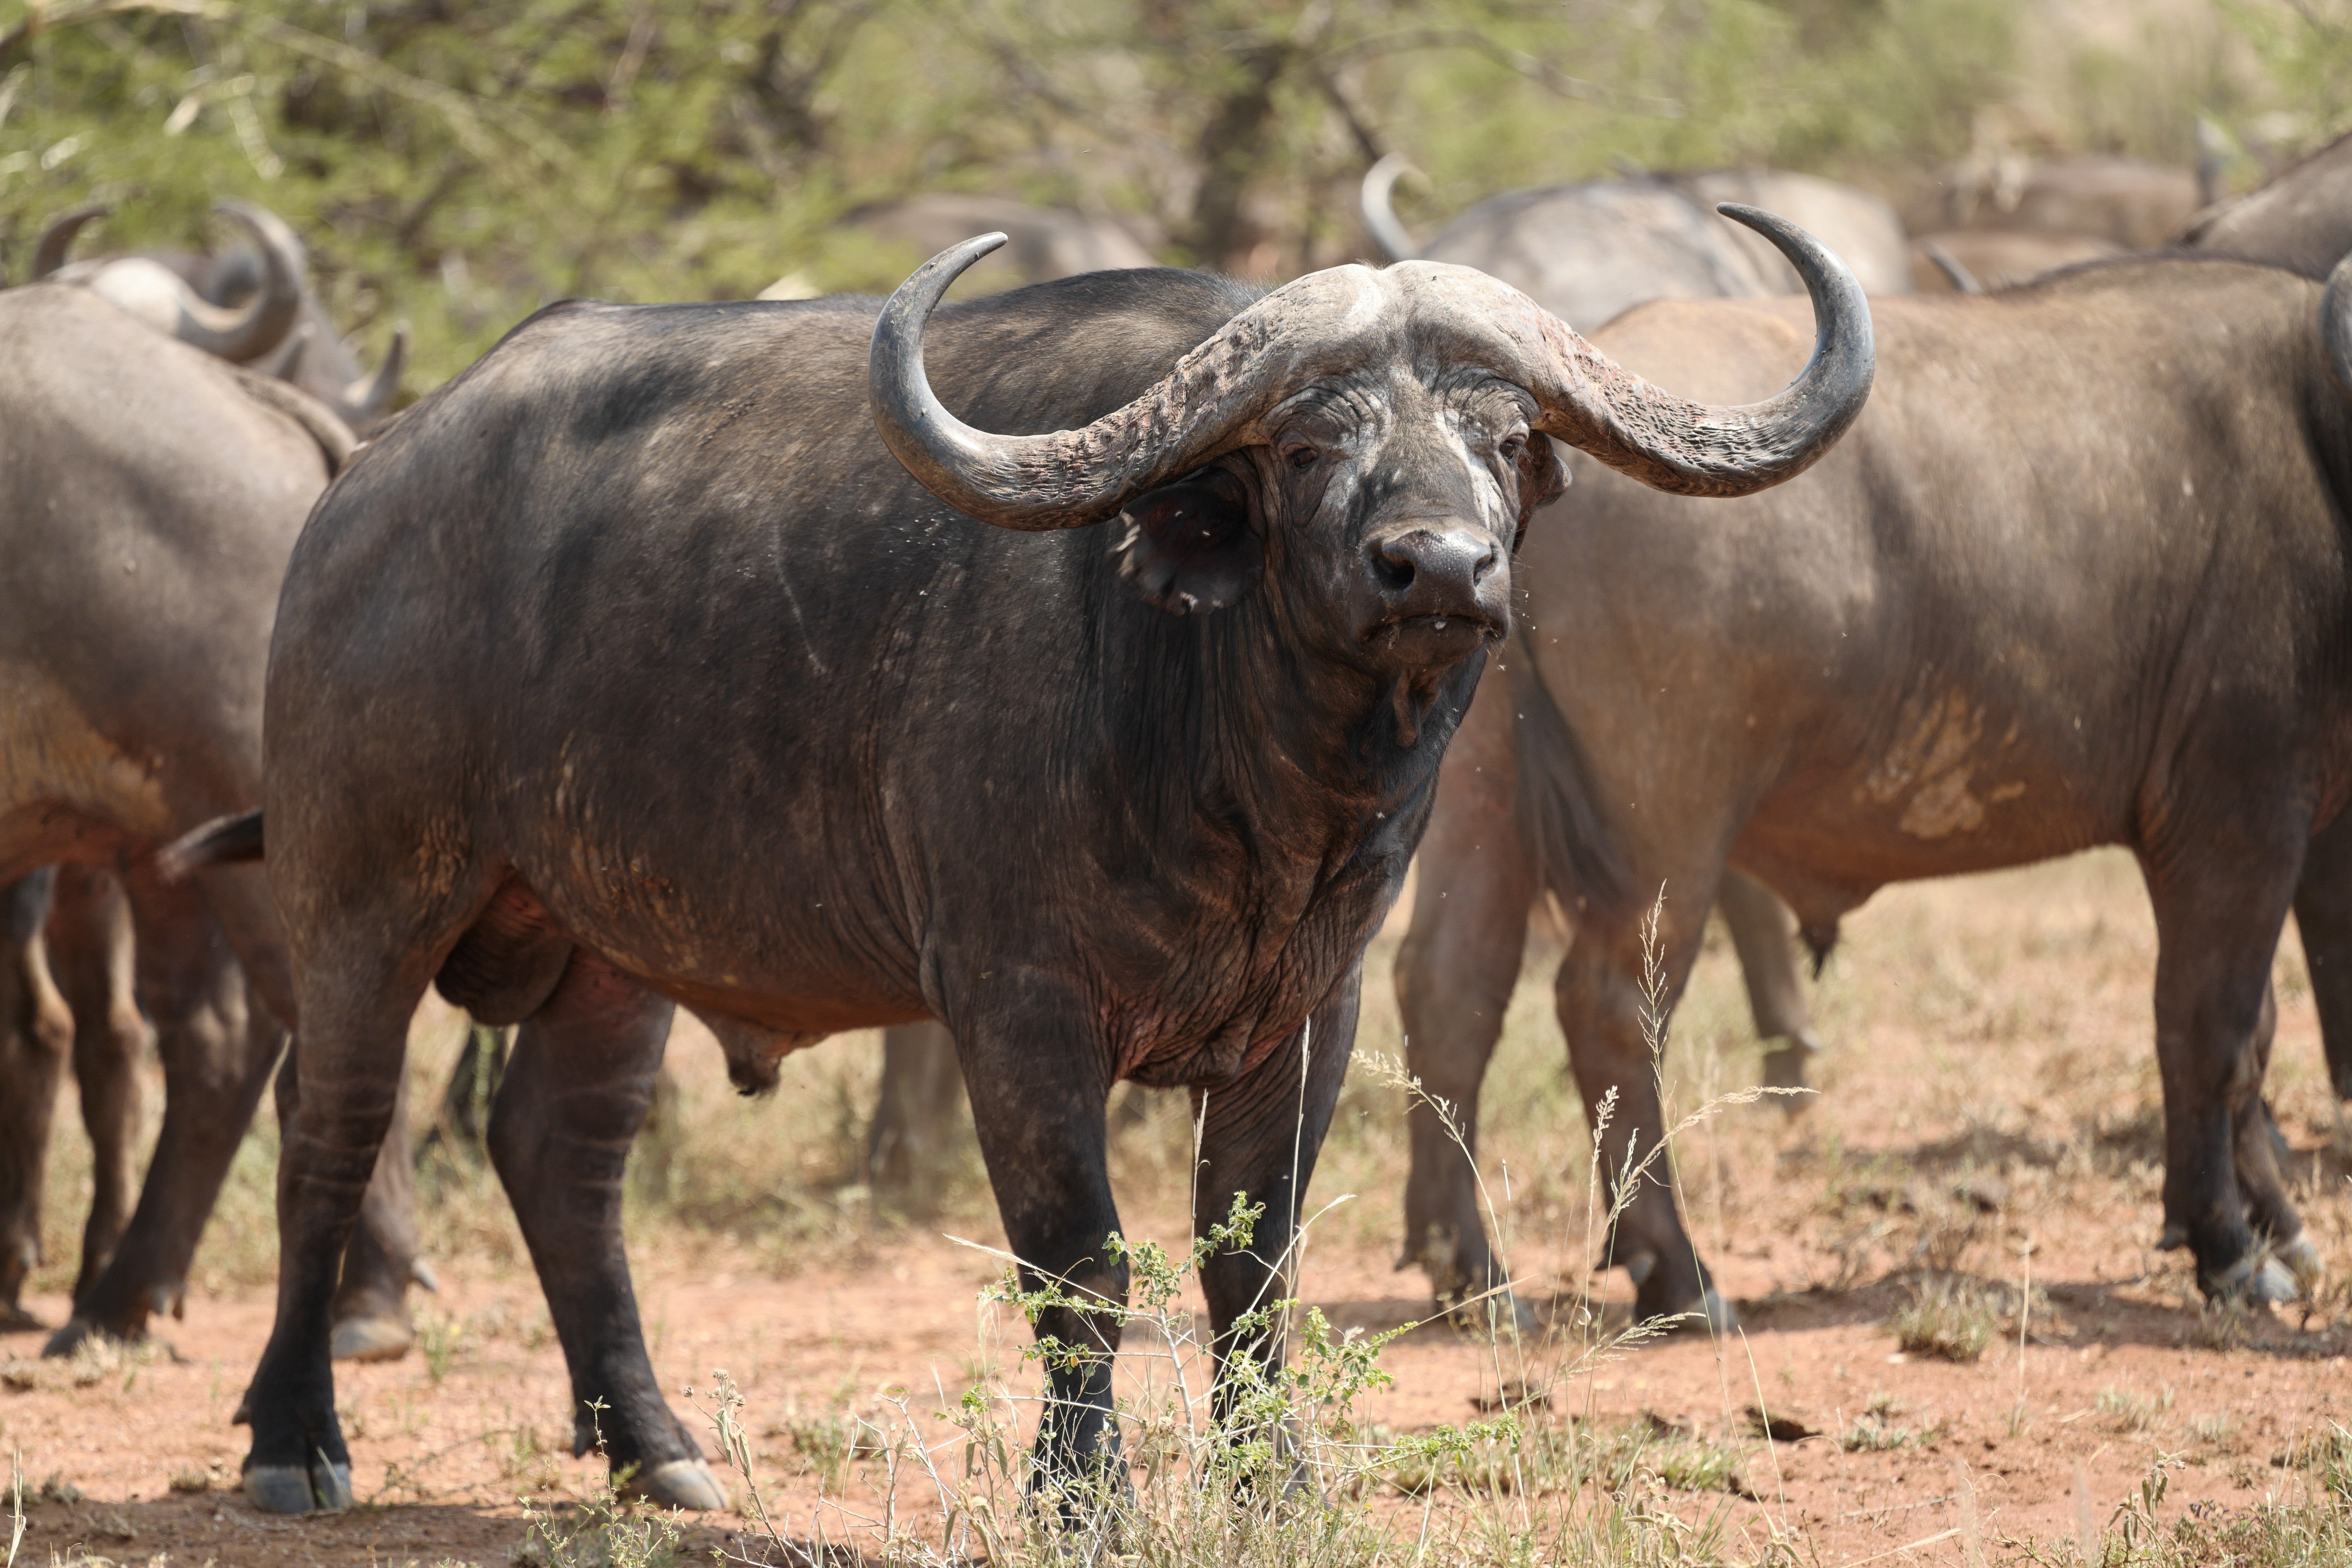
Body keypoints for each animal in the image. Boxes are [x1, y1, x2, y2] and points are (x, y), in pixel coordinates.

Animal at [207, 214, 1871, 1515]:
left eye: (1506, 437)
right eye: (1312, 441)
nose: (1440, 569)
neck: (1247, 783)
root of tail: (362, 492)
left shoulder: (1310, 1013)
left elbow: (1250, 1265)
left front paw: (1270, 1483)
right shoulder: (1014, 1009)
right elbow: (1082, 1264)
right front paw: (1080, 1495)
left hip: (614, 950)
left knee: (561, 1158)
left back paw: (657, 1452)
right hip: (361, 898)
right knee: (329, 1138)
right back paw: (295, 1441)